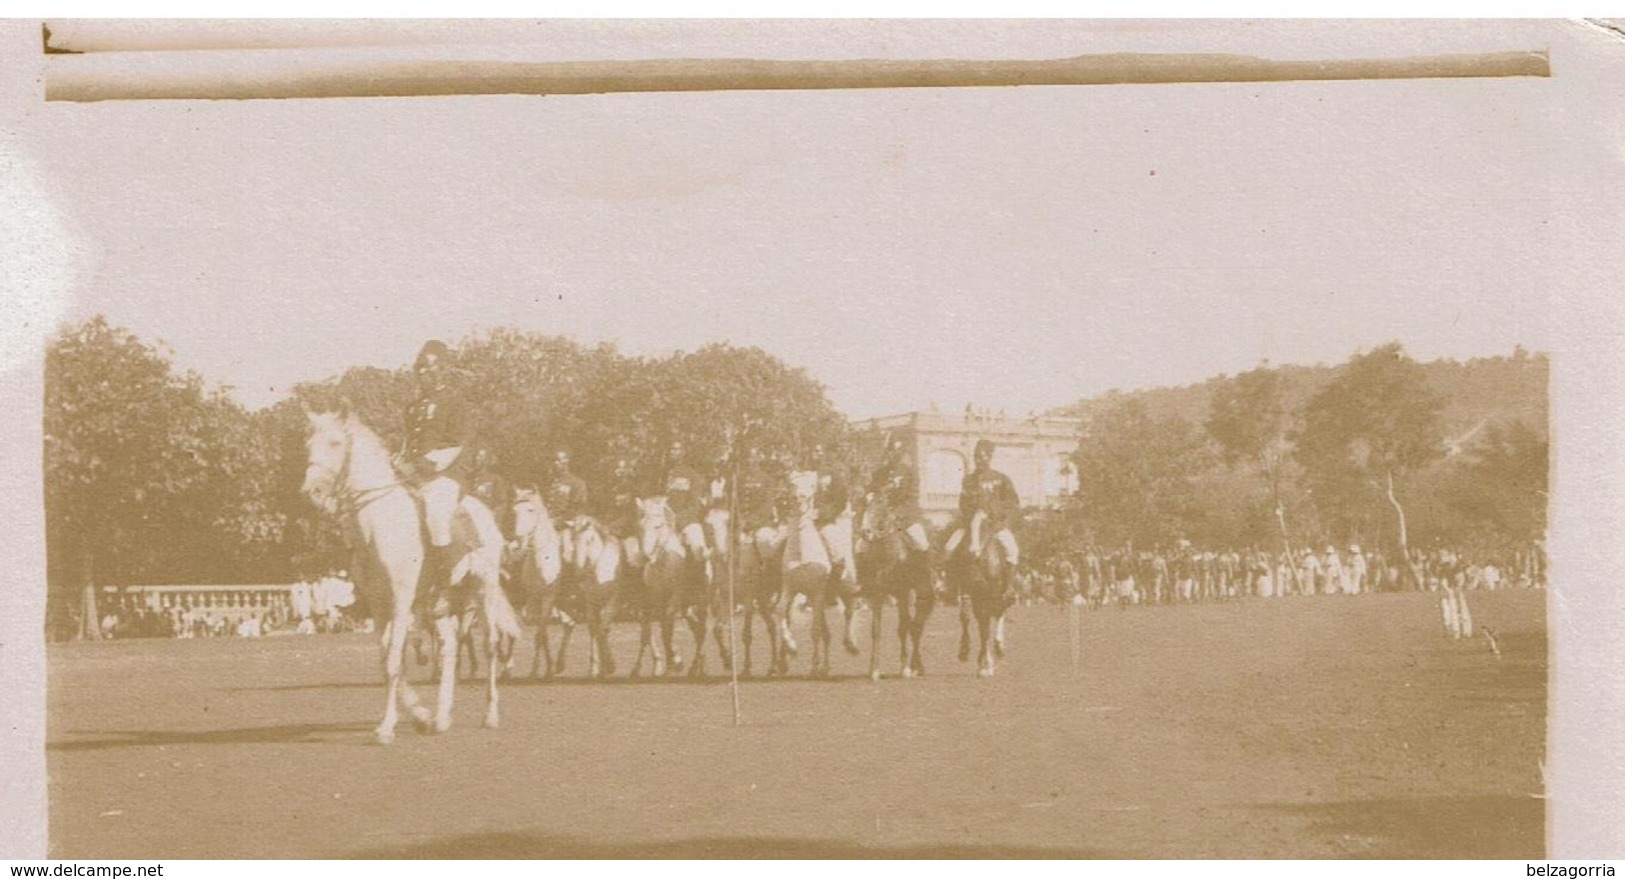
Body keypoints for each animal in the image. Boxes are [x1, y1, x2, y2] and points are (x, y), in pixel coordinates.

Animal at [303, 404, 520, 740]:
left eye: (336, 443)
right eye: (308, 445)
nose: (310, 493)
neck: (380, 525)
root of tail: (484, 514)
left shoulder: (401, 600)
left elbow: (393, 659)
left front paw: (386, 727)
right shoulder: (379, 605)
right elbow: (387, 660)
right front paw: (420, 714)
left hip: (484, 592)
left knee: (490, 647)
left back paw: (490, 714)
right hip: (438, 604)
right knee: (449, 647)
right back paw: (441, 717)